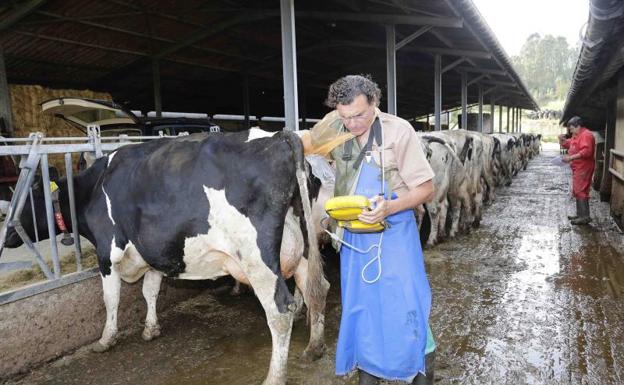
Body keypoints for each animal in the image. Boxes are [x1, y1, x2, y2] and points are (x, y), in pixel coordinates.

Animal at [6, 129, 326, 384]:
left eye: (22, 203)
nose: (8, 237)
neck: (93, 188)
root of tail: (279, 137)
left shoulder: (107, 252)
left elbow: (111, 297)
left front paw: (106, 338)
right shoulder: (153, 251)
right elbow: (150, 291)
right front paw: (151, 329)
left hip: (257, 258)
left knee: (281, 310)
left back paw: (274, 377)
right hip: (304, 249)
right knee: (317, 289)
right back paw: (315, 348)